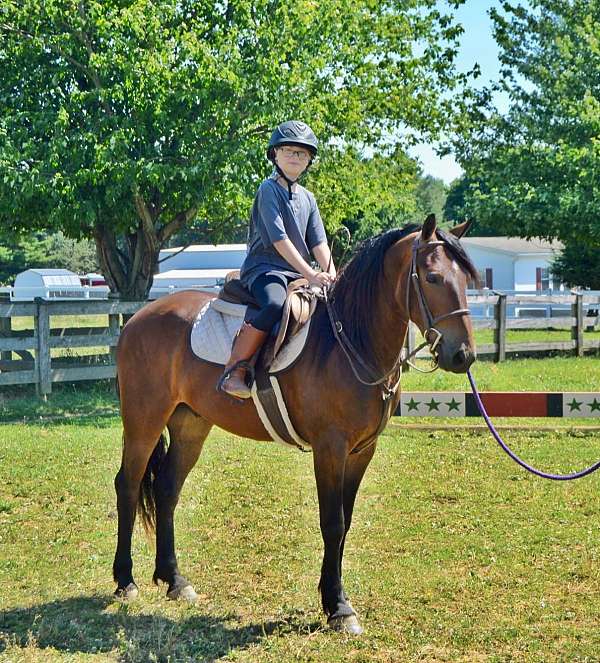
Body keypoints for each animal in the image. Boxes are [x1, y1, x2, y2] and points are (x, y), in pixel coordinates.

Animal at [112, 215, 478, 636]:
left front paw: (332, 596)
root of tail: (138, 319)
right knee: (128, 484)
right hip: (144, 419)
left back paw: (174, 580)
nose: (463, 355)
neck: (350, 341)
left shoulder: (362, 451)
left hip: (191, 425)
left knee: (167, 490)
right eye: (433, 277)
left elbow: (345, 523)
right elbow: (332, 522)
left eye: (465, 280)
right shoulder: (330, 449)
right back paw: (125, 581)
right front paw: (339, 607)